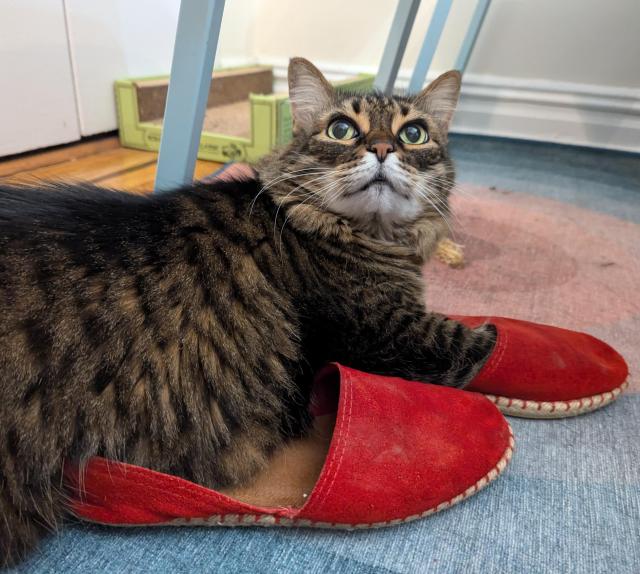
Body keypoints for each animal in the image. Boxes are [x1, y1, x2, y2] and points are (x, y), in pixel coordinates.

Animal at [0, 59, 496, 568]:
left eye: (414, 134)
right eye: (341, 129)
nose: (381, 148)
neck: (370, 235)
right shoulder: (387, 331)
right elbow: (479, 339)